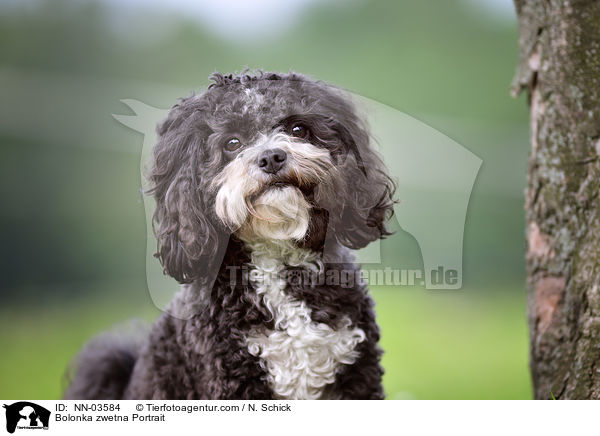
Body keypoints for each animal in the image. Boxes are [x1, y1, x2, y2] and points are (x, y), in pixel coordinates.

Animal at [65, 72, 396, 402]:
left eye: (298, 129)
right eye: (232, 143)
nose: (271, 157)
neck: (275, 252)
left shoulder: (357, 376)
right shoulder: (232, 382)